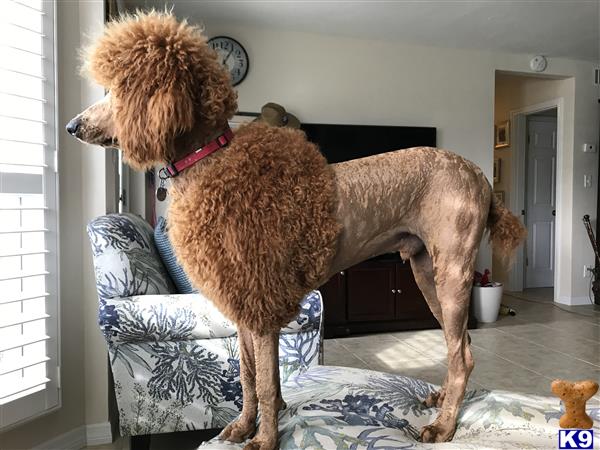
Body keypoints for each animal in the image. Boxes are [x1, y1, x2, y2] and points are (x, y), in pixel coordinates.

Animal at [67, 12, 524, 448]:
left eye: (118, 88)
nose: (73, 126)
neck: (210, 161)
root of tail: (479, 175)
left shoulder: (262, 305)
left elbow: (269, 384)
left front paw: (265, 439)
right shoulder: (245, 306)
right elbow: (249, 378)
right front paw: (241, 427)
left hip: (451, 272)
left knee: (462, 355)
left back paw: (443, 426)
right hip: (427, 273)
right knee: (459, 346)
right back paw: (442, 401)